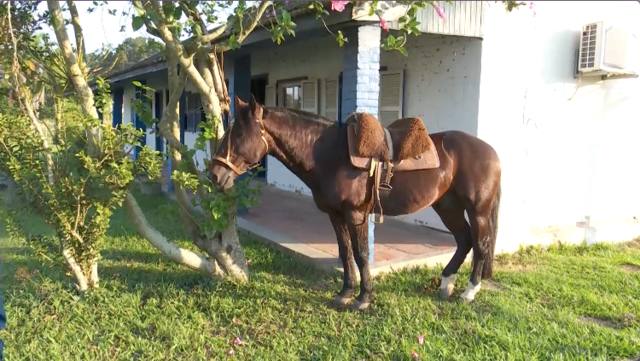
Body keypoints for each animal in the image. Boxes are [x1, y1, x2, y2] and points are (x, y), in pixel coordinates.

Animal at [212, 96, 502, 310]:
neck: (329, 155)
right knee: (464, 240)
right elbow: (345, 252)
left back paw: (469, 291)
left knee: (481, 244)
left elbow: (362, 254)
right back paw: (446, 284)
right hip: (447, 207)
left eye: (238, 134)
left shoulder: (355, 214)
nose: (214, 174)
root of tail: (490, 152)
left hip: (477, 210)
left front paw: (363, 298)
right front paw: (345, 293)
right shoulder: (335, 215)